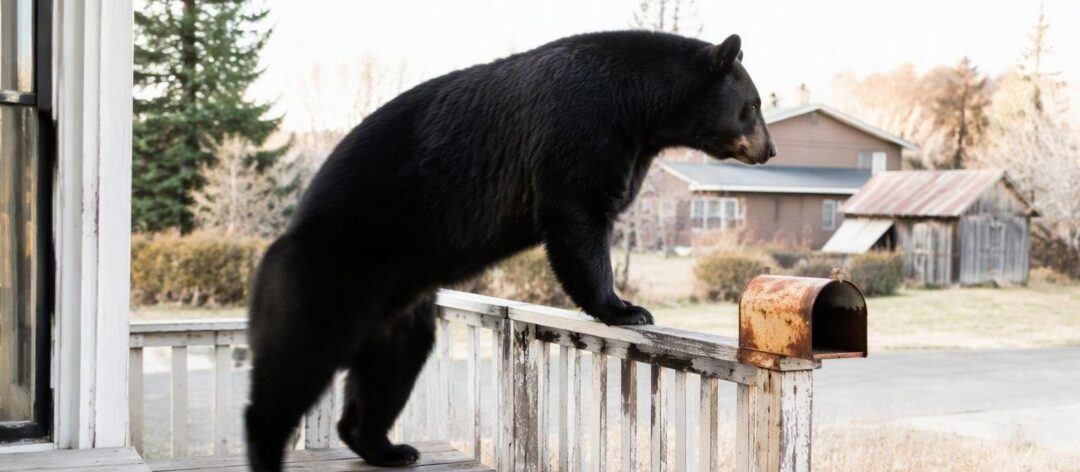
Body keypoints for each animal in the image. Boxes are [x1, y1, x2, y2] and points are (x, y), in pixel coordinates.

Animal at [244, 31, 774, 471]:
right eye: (752, 104)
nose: (768, 150)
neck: (641, 106)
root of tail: (286, 234)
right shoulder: (582, 125)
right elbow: (576, 212)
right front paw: (625, 308)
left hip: (398, 309)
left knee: (391, 365)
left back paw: (386, 448)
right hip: (331, 273)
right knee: (297, 361)